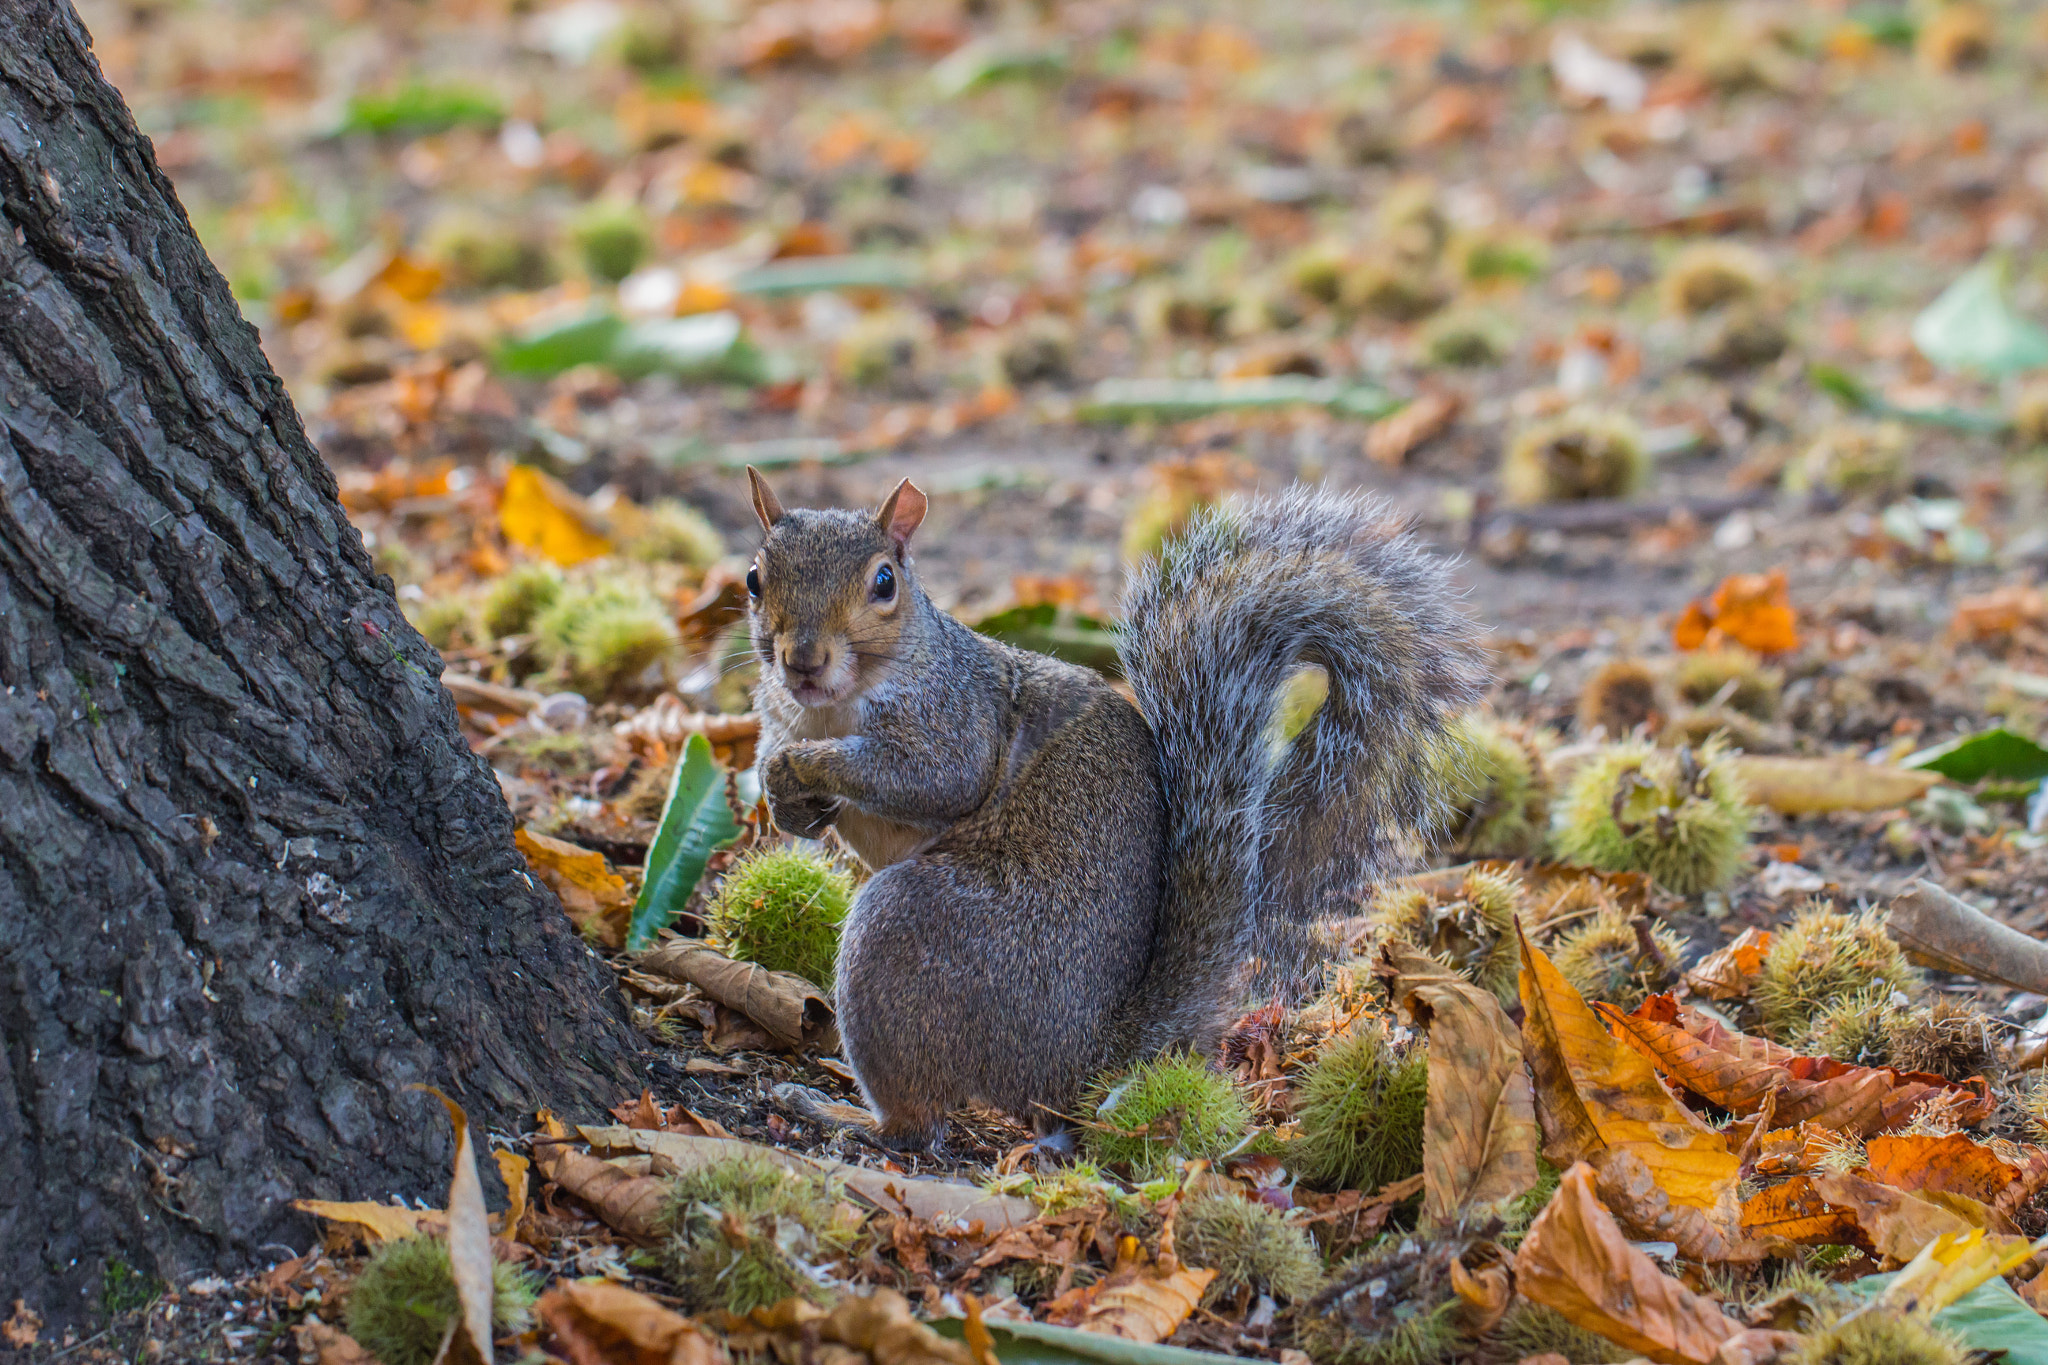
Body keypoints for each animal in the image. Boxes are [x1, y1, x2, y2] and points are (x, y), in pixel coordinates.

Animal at [743, 468, 1487, 1149]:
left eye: (884, 583)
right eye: (754, 577)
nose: (802, 659)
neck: (834, 708)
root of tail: (1083, 1064)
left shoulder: (958, 721)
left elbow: (933, 778)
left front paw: (801, 766)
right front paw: (782, 792)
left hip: (905, 934)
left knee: (917, 1125)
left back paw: (843, 1114)